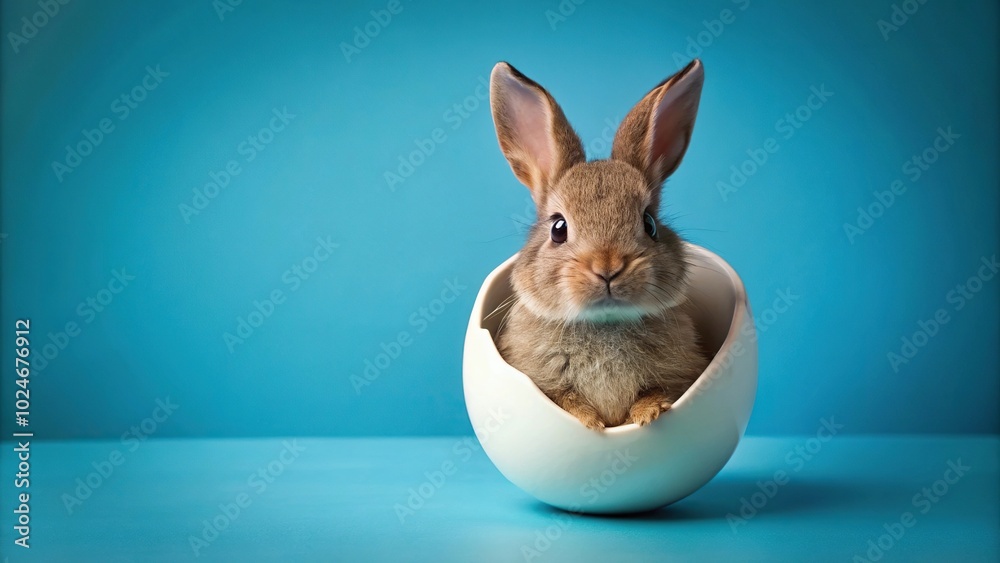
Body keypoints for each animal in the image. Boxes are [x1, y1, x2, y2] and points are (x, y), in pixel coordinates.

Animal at [490, 59, 710, 431]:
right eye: (558, 228)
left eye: (649, 223)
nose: (607, 266)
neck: (604, 323)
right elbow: (566, 400)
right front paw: (590, 422)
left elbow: (656, 391)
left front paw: (647, 413)